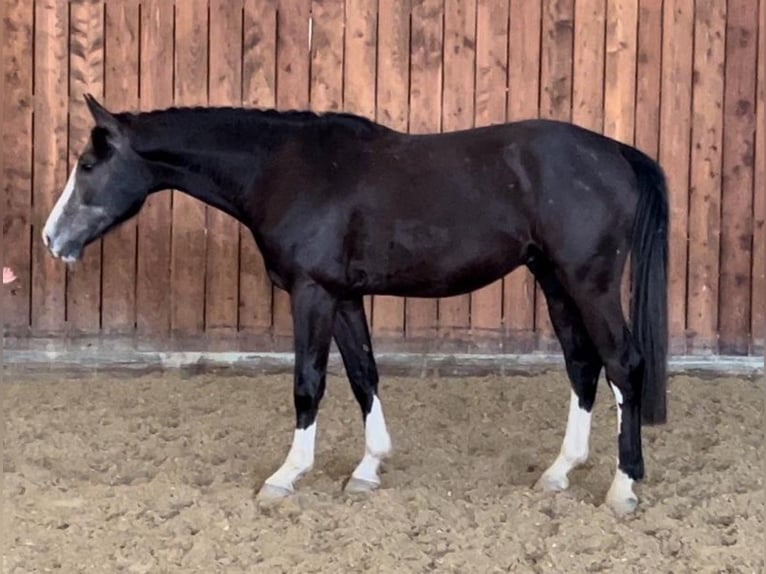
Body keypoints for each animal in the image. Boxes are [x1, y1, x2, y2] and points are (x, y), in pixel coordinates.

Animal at [43, 94, 664, 516]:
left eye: (88, 165)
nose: (53, 238)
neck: (285, 168)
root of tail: (617, 152)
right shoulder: (343, 297)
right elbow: (364, 374)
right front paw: (368, 469)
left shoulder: (313, 293)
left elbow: (308, 384)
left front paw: (286, 476)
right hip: (555, 281)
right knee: (582, 366)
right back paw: (559, 472)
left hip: (589, 283)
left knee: (623, 365)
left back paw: (623, 486)